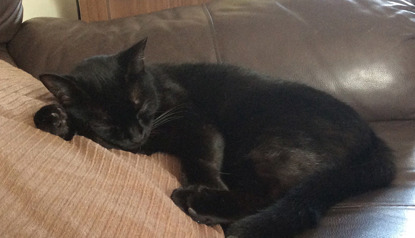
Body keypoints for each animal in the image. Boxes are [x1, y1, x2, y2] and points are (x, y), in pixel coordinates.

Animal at [35, 38, 396, 237]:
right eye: (105, 119)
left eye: (139, 104)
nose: (136, 134)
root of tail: (374, 139)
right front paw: (52, 118)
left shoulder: (196, 123)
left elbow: (201, 159)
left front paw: (208, 186)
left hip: (270, 146)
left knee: (277, 194)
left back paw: (199, 201)